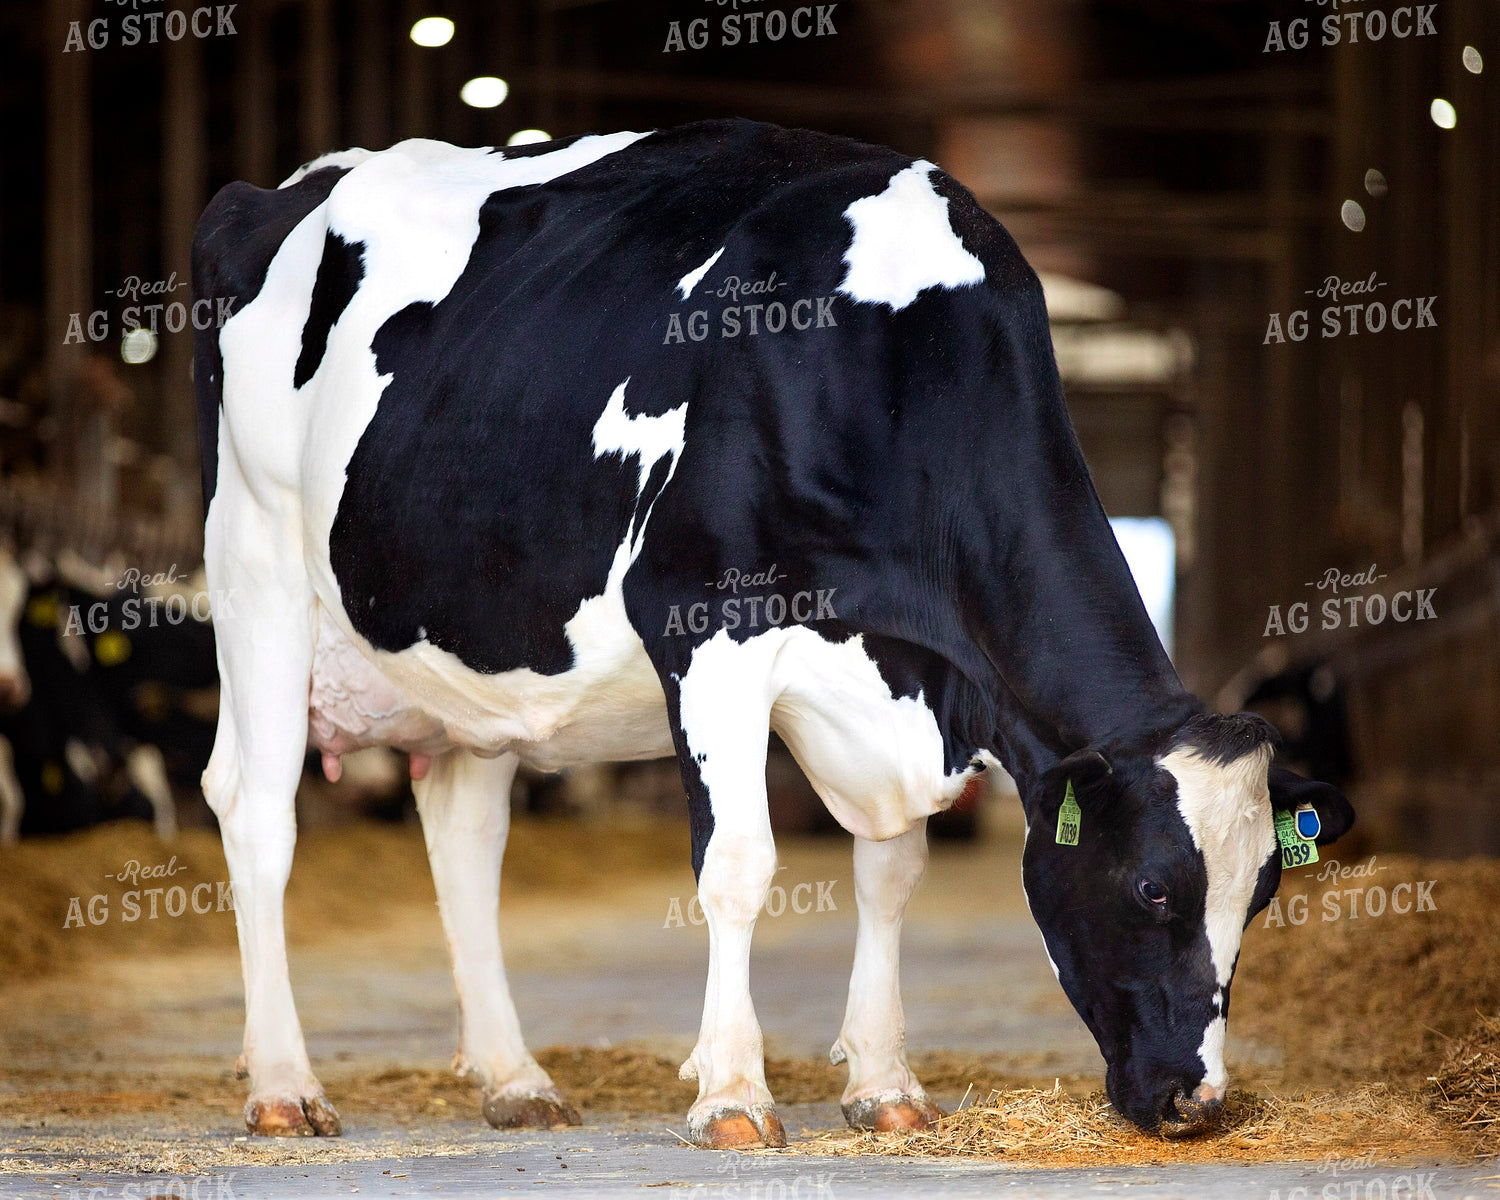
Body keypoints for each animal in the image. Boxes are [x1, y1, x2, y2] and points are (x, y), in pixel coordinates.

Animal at [192, 118, 1352, 1148]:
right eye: (1153, 886)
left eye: (1263, 895)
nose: (1196, 1103)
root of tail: (283, 187)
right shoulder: (709, 629)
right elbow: (739, 864)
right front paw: (735, 1094)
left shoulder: (898, 677)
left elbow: (892, 873)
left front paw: (884, 1084)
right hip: (257, 567)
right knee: (257, 813)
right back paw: (285, 1087)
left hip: (473, 654)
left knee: (465, 838)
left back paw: (517, 1081)